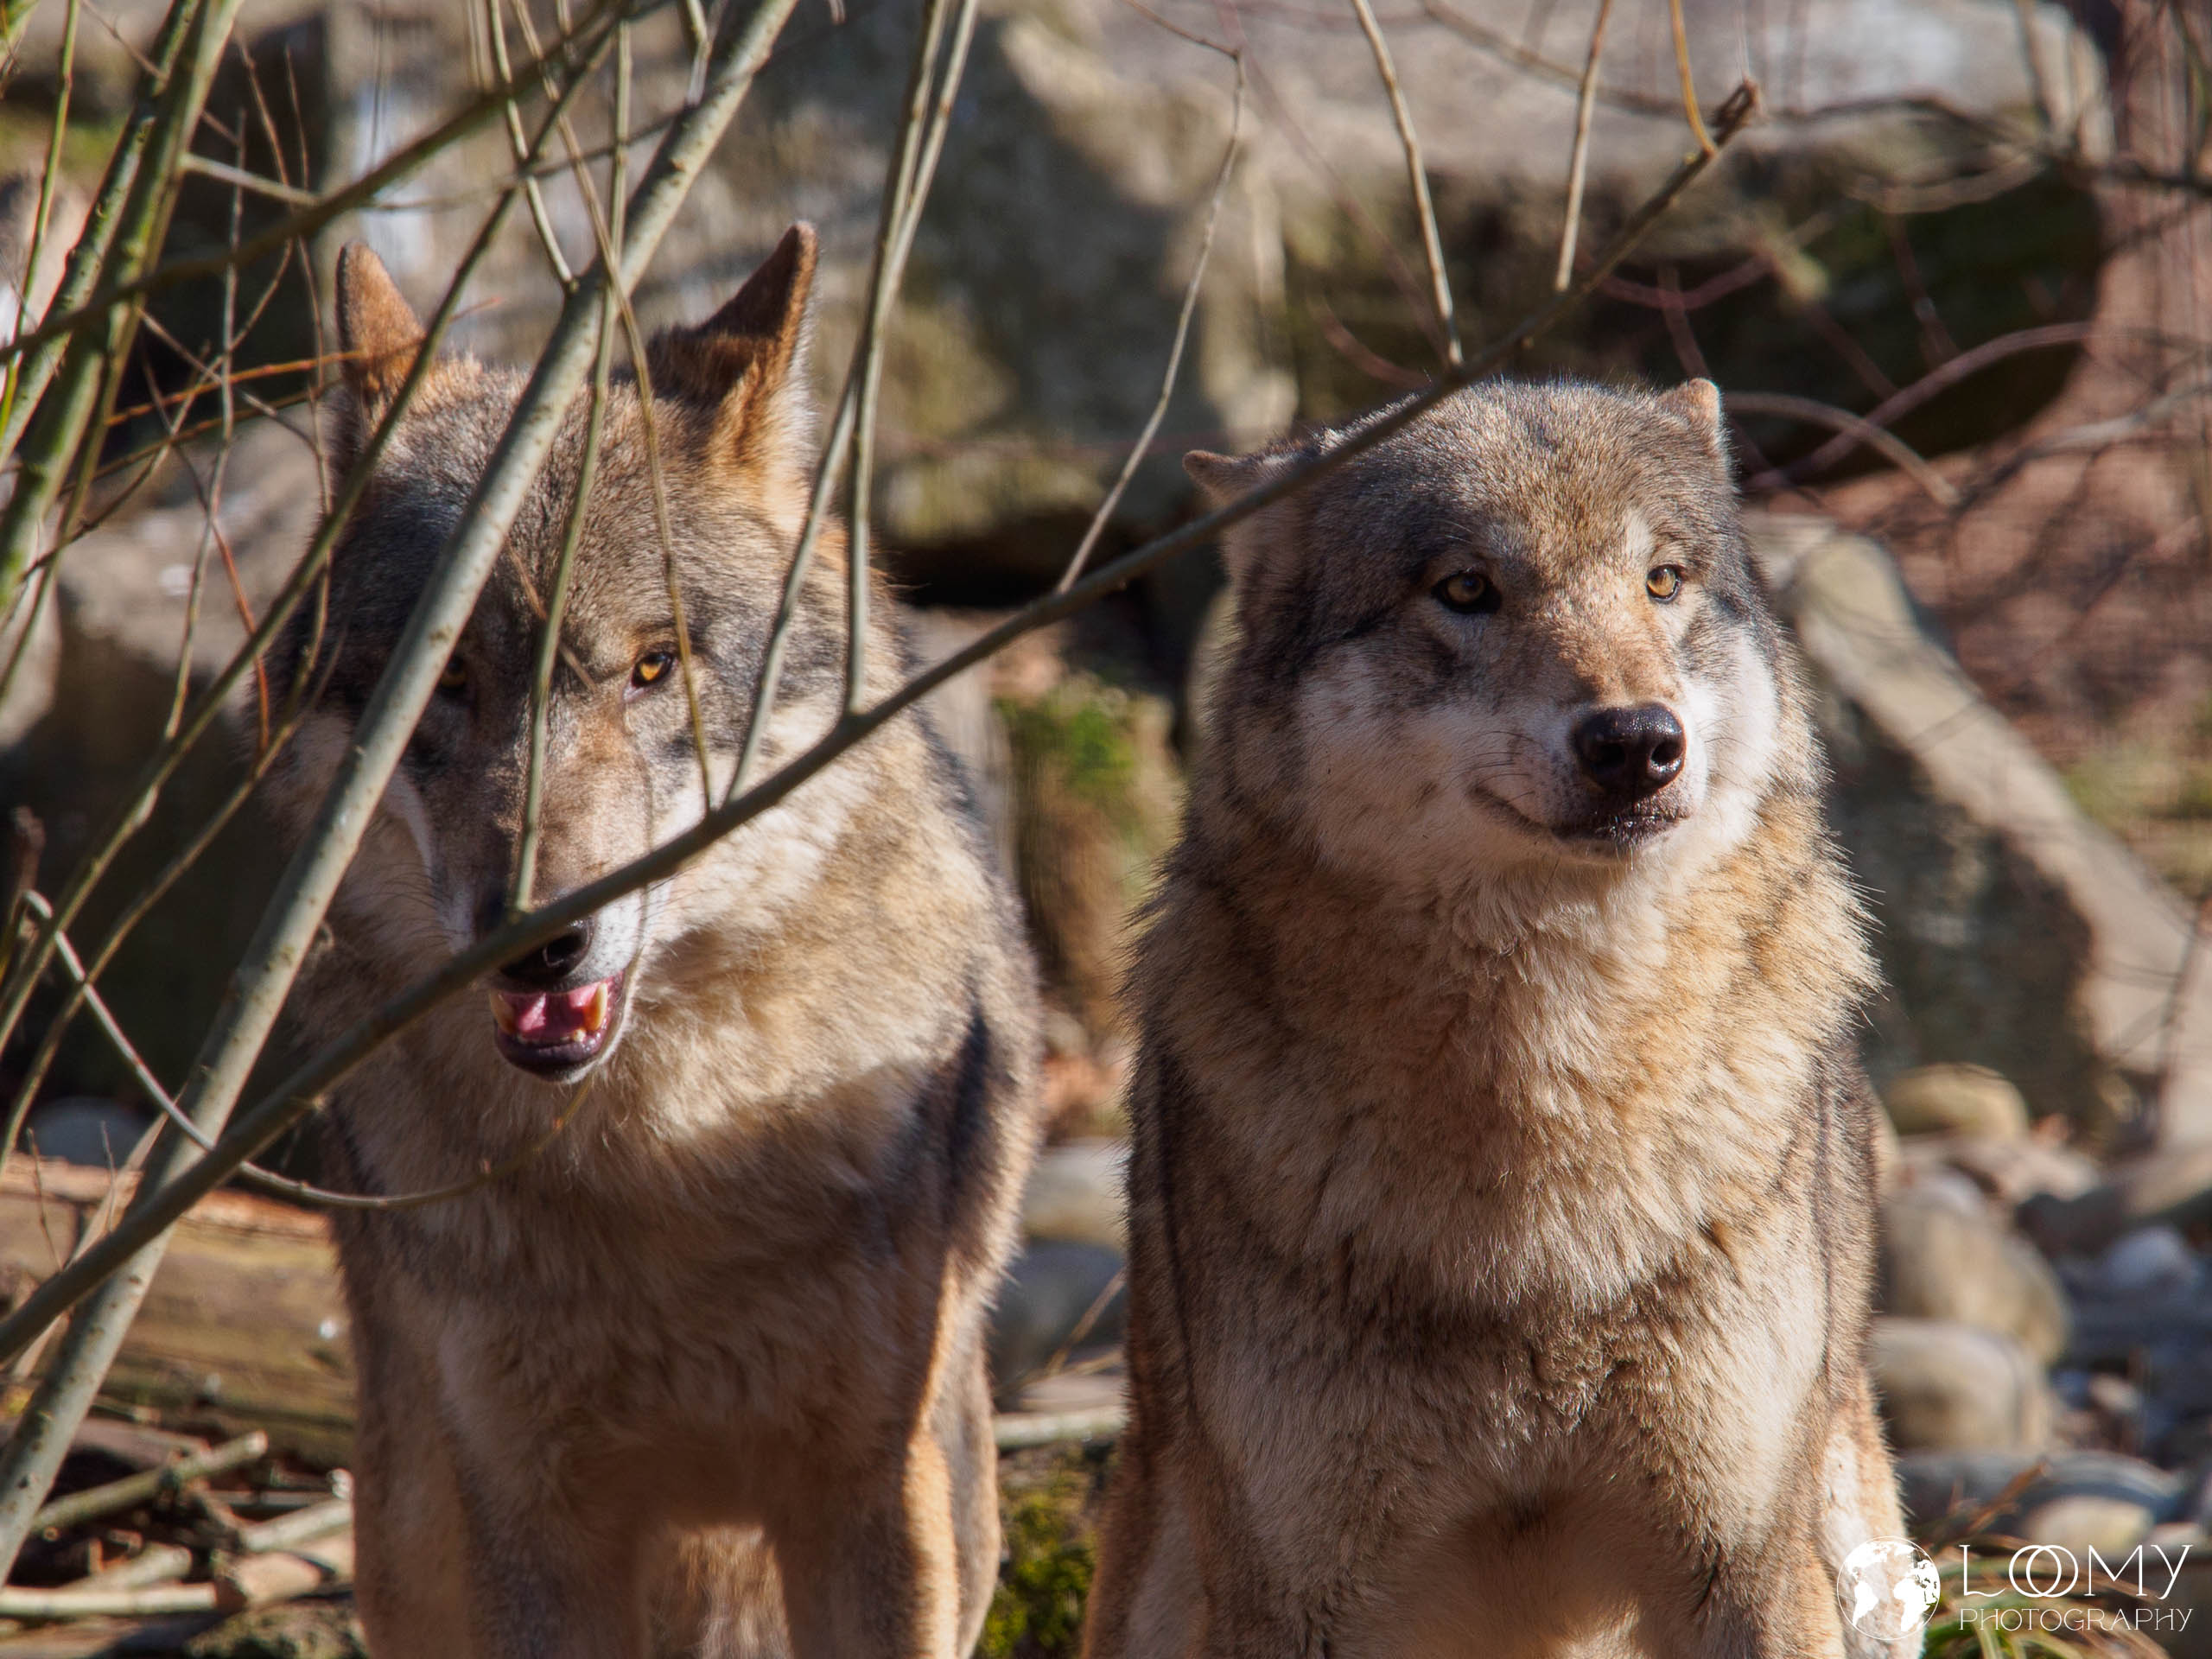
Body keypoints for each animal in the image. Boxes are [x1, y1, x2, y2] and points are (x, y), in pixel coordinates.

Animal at [262, 226, 1042, 1658]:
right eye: (446, 681)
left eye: (652, 665)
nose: (536, 941)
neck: (663, 1175)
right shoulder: (530, 1520)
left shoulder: (870, 1494)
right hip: (412, 1532)